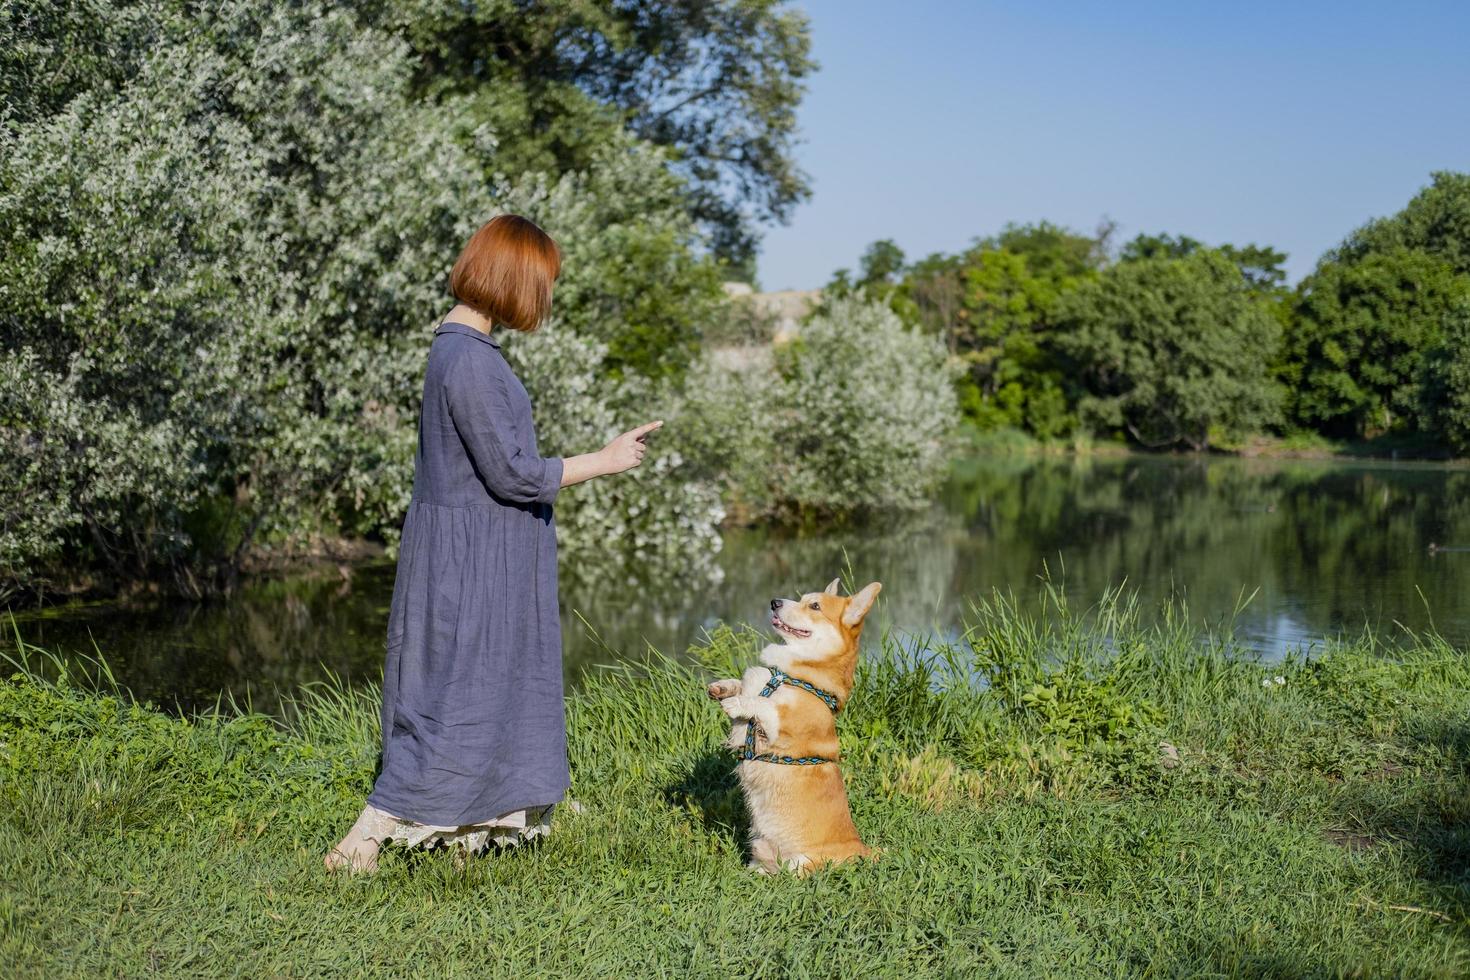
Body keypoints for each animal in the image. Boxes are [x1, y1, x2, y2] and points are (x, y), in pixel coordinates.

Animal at [702, 575, 876, 875]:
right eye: (803, 598)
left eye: (815, 606)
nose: (774, 602)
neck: (792, 674)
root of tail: (865, 851)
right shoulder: (742, 729)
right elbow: (744, 685)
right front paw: (722, 688)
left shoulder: (780, 725)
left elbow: (762, 704)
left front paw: (736, 702)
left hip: (801, 863)